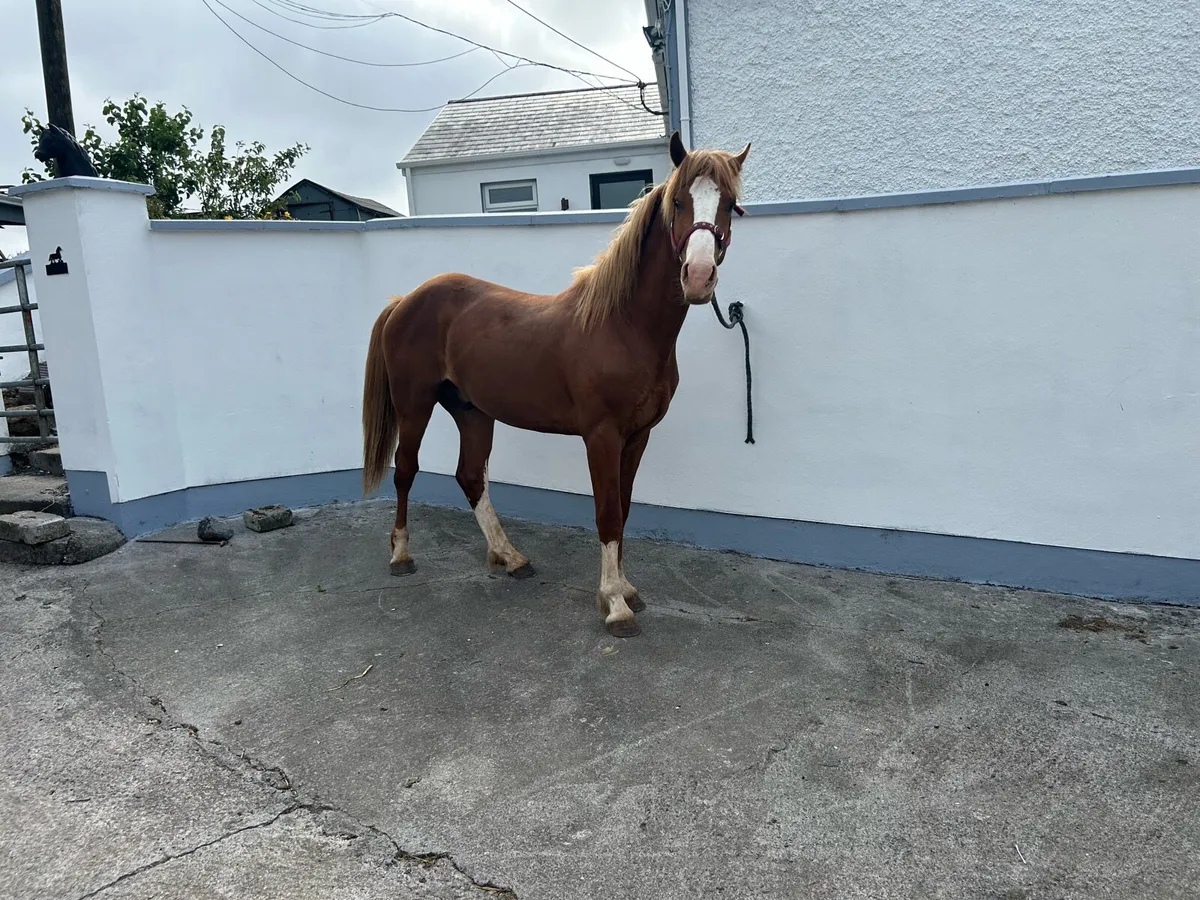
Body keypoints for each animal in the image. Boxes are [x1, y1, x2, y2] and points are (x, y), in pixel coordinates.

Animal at [361, 131, 750, 638]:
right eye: (679, 201)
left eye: (728, 205)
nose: (699, 277)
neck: (624, 326)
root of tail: (405, 299)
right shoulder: (601, 436)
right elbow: (607, 513)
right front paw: (614, 604)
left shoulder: (637, 436)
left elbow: (624, 508)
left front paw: (626, 589)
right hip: (415, 405)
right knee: (406, 470)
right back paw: (402, 555)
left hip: (472, 411)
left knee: (470, 476)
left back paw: (510, 557)